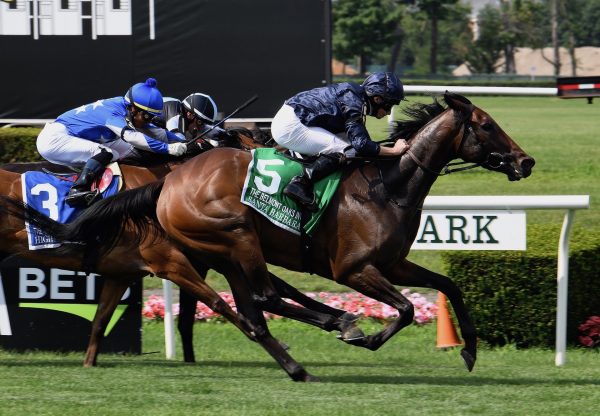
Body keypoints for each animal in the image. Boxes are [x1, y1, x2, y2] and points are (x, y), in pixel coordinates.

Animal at [0, 93, 536, 380]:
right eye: (486, 125)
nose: (525, 160)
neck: (389, 185)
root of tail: (167, 184)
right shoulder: (352, 269)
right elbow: (403, 310)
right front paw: (367, 337)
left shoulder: (392, 263)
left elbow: (450, 286)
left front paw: (468, 349)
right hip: (236, 237)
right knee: (259, 298)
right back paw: (332, 328)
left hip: (229, 249)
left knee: (257, 301)